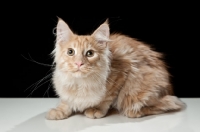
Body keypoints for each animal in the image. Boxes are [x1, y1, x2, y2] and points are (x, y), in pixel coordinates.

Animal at [45, 17, 186, 119]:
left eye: (90, 53)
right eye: (70, 52)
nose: (79, 63)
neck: (79, 83)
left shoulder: (122, 74)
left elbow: (106, 98)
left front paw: (96, 109)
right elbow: (66, 101)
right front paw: (59, 110)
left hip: (137, 91)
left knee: (169, 103)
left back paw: (135, 111)